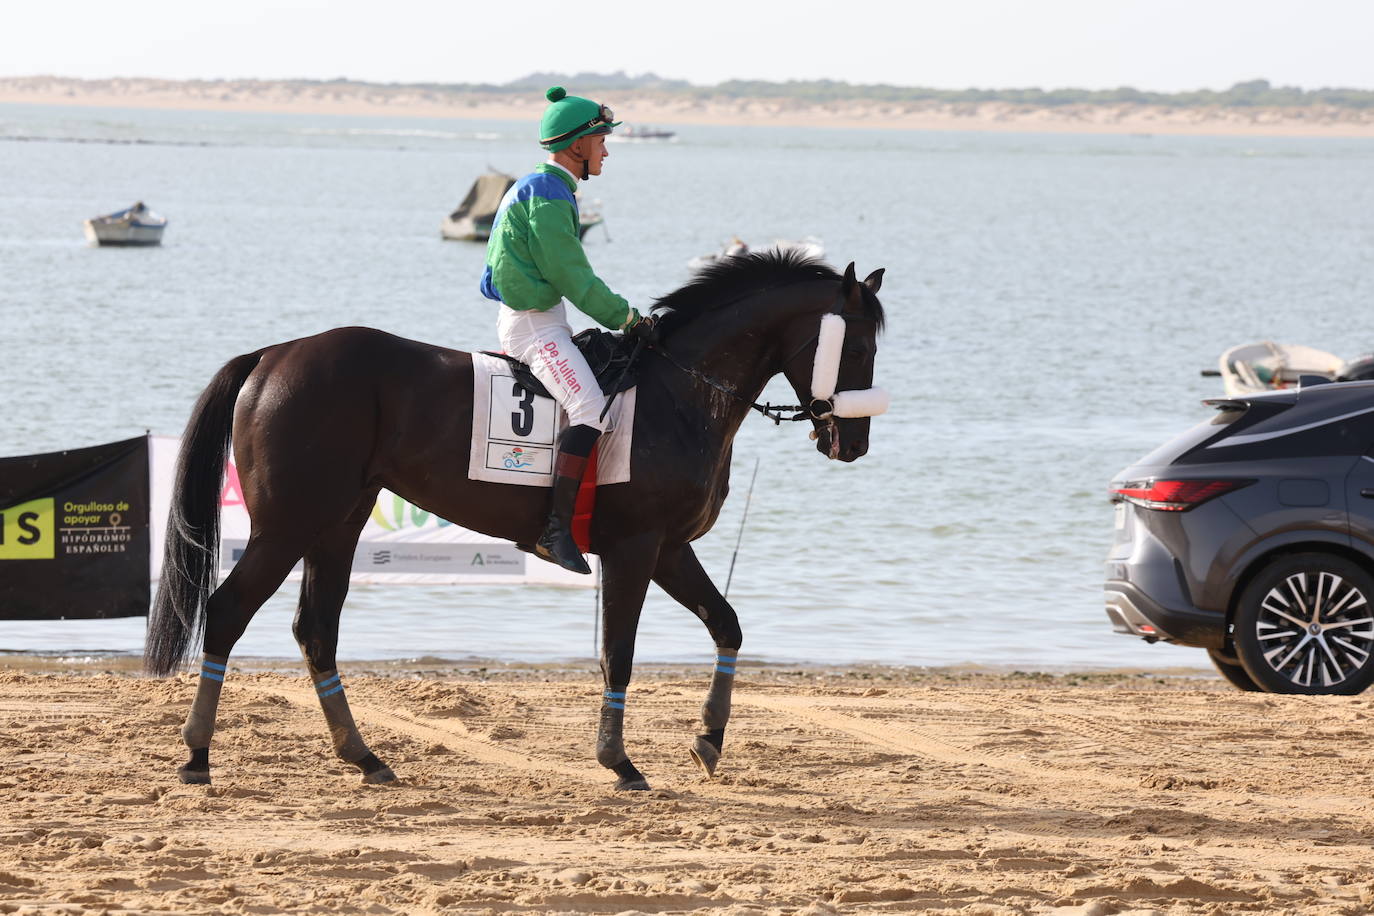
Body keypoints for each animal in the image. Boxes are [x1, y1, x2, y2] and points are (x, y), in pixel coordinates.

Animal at [145, 250, 887, 791]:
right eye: (856, 350)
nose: (852, 443)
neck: (681, 391)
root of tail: (273, 355)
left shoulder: (671, 548)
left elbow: (726, 625)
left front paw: (708, 737)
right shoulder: (636, 547)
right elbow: (619, 651)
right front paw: (618, 762)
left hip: (337, 523)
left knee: (315, 629)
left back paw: (365, 757)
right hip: (289, 524)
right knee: (229, 610)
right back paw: (198, 755)